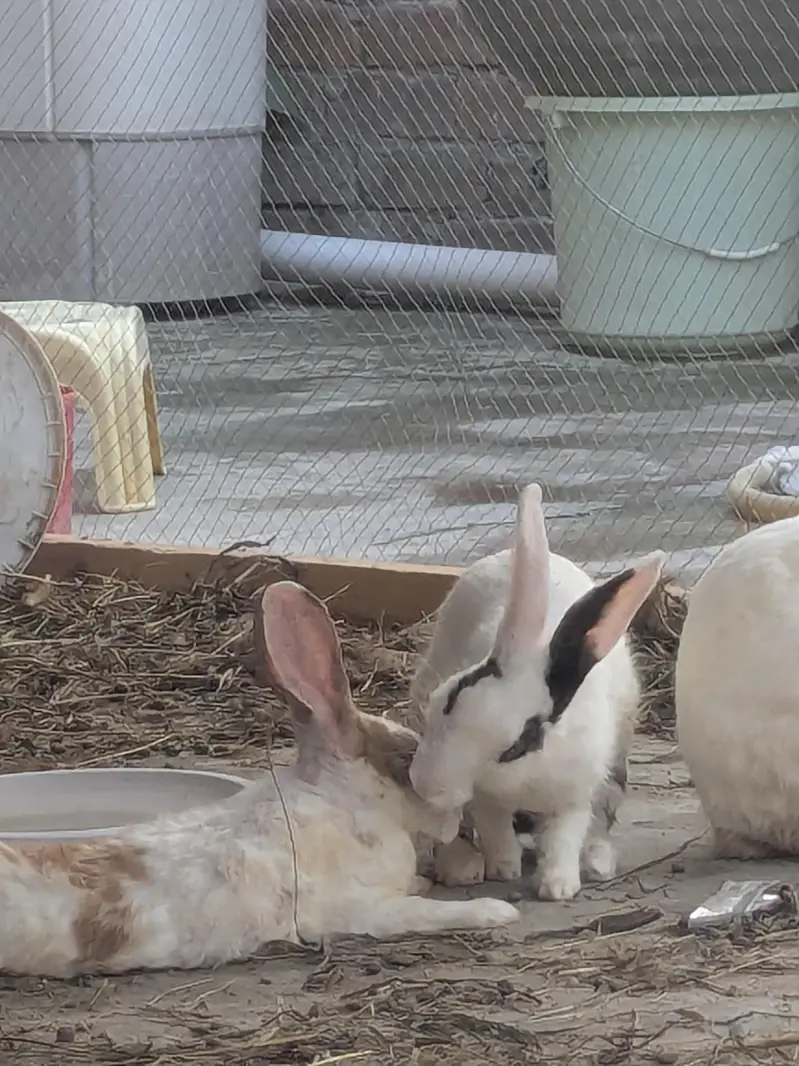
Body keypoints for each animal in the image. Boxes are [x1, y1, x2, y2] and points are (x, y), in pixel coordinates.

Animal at [0, 581, 519, 977]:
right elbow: (424, 913)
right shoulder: (356, 908)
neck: (344, 800)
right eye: (406, 761)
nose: (454, 814)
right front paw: (496, 912)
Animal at [409, 483, 664, 901]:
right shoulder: (486, 797)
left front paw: (558, 886)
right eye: (450, 698)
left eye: (517, 745)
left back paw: (596, 863)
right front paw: (504, 867)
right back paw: (462, 866)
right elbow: (494, 826)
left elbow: (565, 835)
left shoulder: (575, 793)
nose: (428, 786)